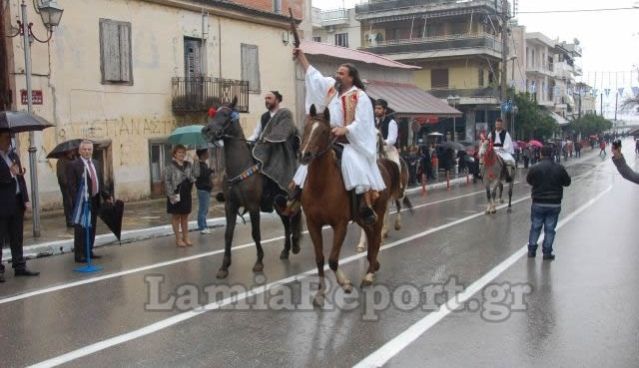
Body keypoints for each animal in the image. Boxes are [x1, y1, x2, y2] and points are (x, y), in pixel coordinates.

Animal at [298, 105, 390, 306]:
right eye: (306, 128)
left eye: (324, 131)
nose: (304, 155)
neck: (321, 186)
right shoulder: (313, 224)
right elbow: (320, 259)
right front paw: (320, 293)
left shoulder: (340, 225)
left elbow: (333, 259)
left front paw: (345, 283)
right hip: (362, 218)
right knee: (370, 236)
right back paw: (373, 264)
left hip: (378, 213)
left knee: (376, 239)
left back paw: (369, 275)